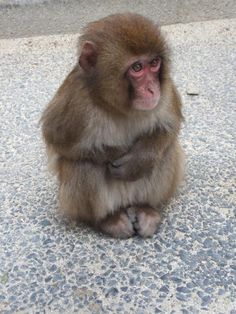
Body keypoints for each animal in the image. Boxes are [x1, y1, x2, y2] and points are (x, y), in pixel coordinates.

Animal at [40, 12, 184, 238]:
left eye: (154, 63)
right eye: (137, 67)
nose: (152, 89)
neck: (119, 107)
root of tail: (126, 202)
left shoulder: (167, 88)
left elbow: (171, 126)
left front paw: (138, 161)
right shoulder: (75, 101)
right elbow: (55, 139)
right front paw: (114, 152)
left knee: (166, 152)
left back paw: (147, 209)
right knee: (82, 165)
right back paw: (107, 220)